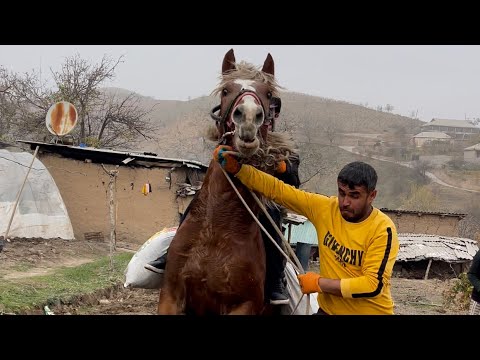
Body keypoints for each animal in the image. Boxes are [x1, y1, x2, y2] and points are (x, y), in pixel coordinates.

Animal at [158, 48, 292, 316]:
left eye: (268, 93)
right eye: (226, 90)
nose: (248, 117)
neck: (216, 232)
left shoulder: (244, 305)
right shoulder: (171, 295)